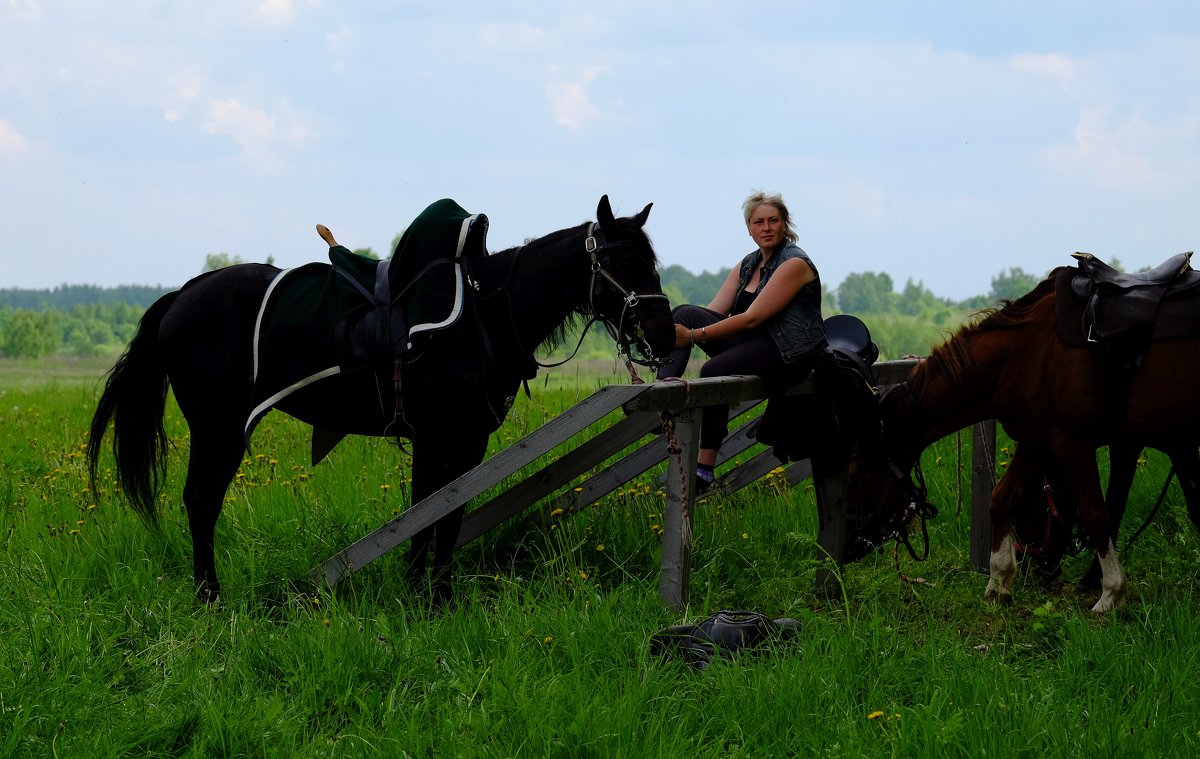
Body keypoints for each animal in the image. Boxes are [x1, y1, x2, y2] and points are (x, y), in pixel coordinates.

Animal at [88, 196, 676, 605]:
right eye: (621, 260)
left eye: (651, 260)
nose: (664, 335)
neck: (482, 314)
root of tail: (182, 295)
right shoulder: (436, 438)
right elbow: (424, 512)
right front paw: (419, 596)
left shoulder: (469, 442)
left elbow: (449, 515)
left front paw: (440, 597)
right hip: (219, 431)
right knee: (201, 502)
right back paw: (209, 596)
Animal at [878, 270, 1200, 614]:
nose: (1042, 570)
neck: (1029, 353)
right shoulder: (1037, 441)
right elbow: (1000, 498)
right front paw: (999, 581)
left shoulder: (1073, 442)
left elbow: (1097, 514)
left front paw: (1111, 593)